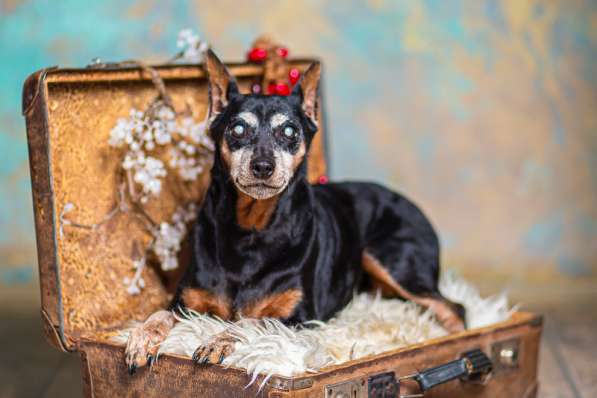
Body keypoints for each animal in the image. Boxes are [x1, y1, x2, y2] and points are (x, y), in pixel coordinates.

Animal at [123, 49, 464, 374]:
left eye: (290, 131)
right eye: (237, 128)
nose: (262, 166)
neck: (250, 231)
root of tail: (409, 203)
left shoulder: (297, 316)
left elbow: (250, 321)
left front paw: (217, 340)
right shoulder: (185, 305)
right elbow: (158, 314)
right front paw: (140, 338)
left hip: (392, 259)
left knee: (455, 308)